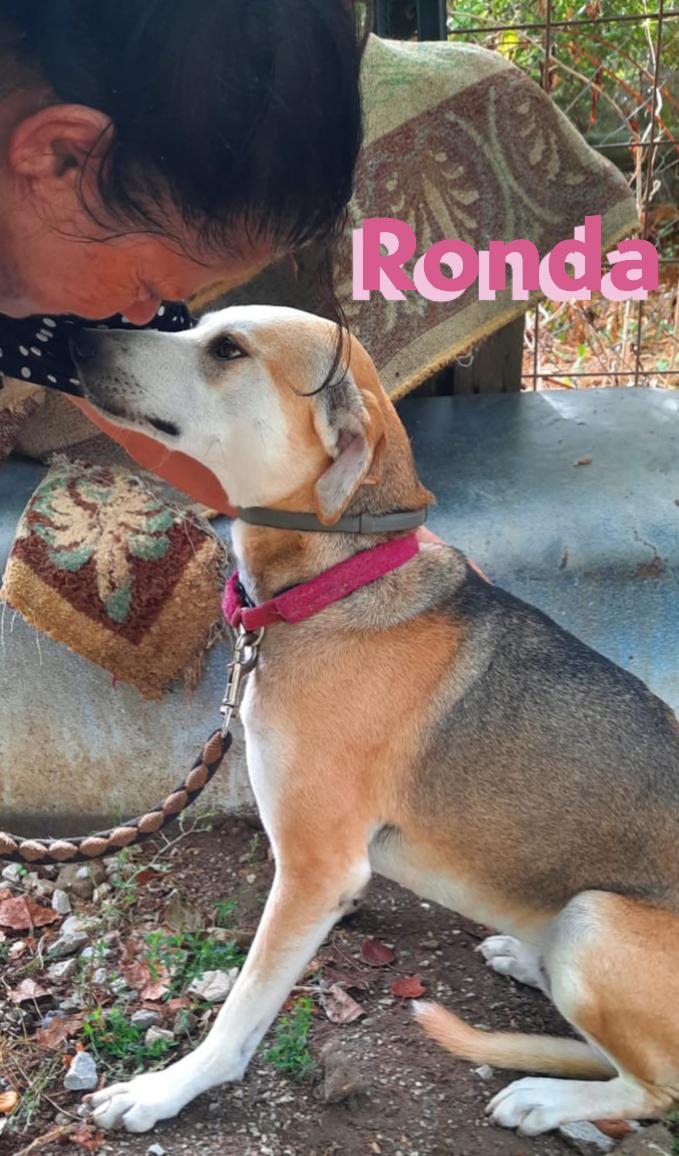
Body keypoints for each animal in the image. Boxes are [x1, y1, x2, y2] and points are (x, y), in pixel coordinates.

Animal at [71, 306, 679, 1137]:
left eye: (227, 349)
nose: (74, 341)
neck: (332, 582)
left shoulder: (314, 869)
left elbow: (242, 1011)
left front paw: (167, 1089)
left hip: (596, 920)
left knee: (652, 1088)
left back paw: (547, 1097)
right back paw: (528, 959)